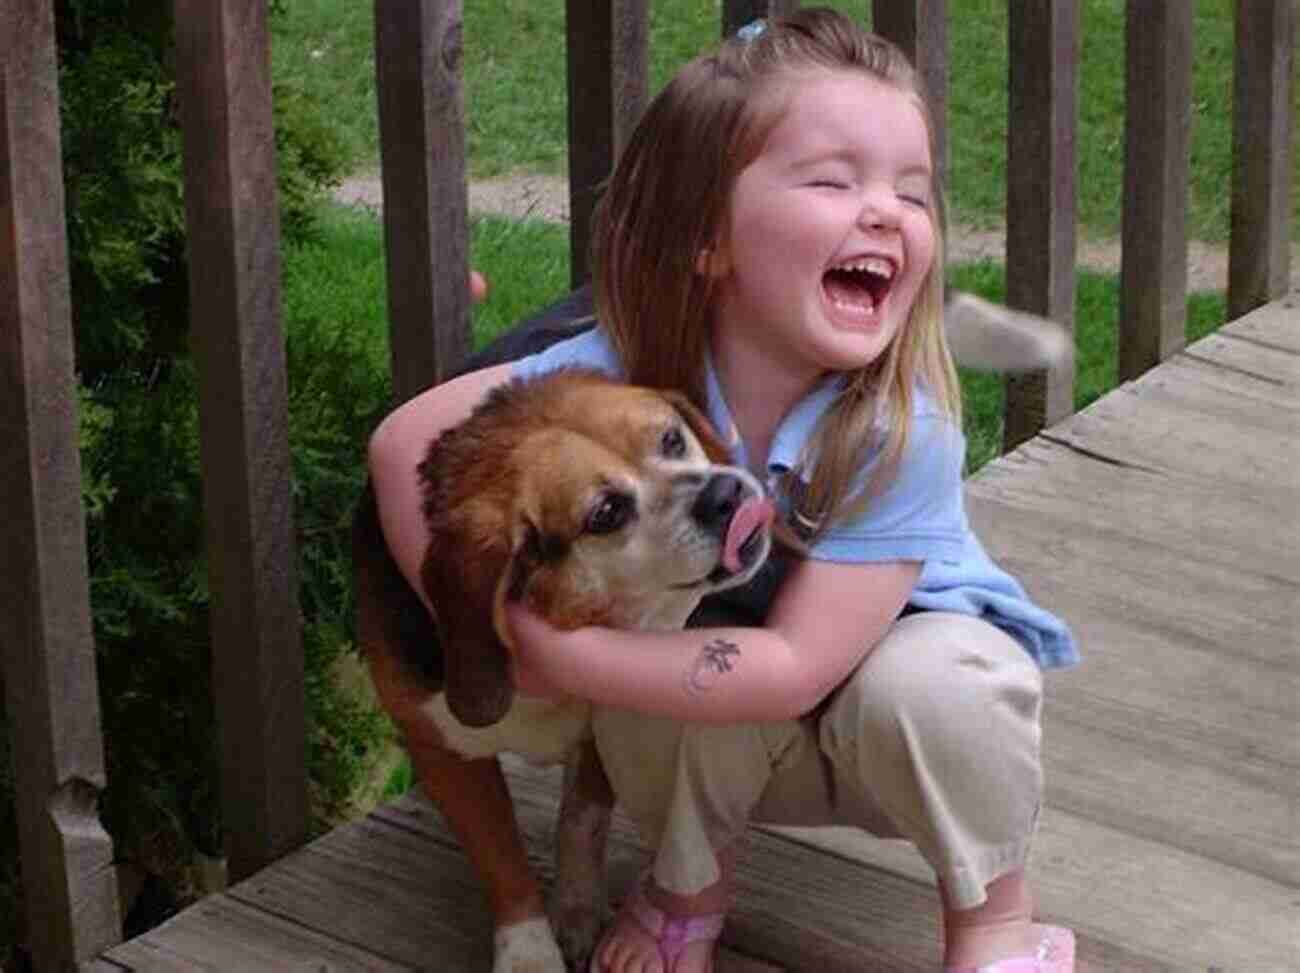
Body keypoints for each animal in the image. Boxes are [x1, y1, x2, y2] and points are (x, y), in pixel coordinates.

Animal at [351, 366, 774, 973]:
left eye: (672, 439)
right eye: (606, 513)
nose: (725, 493)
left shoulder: (607, 722)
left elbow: (581, 820)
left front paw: (576, 910)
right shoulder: (443, 751)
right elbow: (500, 854)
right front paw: (529, 951)